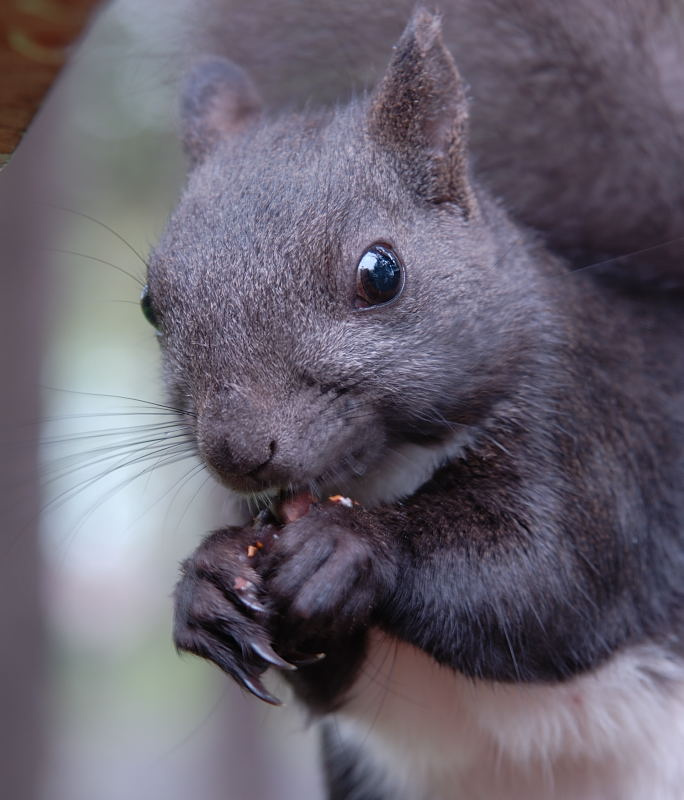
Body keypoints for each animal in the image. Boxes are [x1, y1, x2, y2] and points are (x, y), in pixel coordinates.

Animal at [143, 4, 684, 799]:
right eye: (151, 305)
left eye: (381, 272)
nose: (239, 452)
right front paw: (207, 585)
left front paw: (352, 545)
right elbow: (323, 678)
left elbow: (548, 580)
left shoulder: (593, 439)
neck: (387, 471)